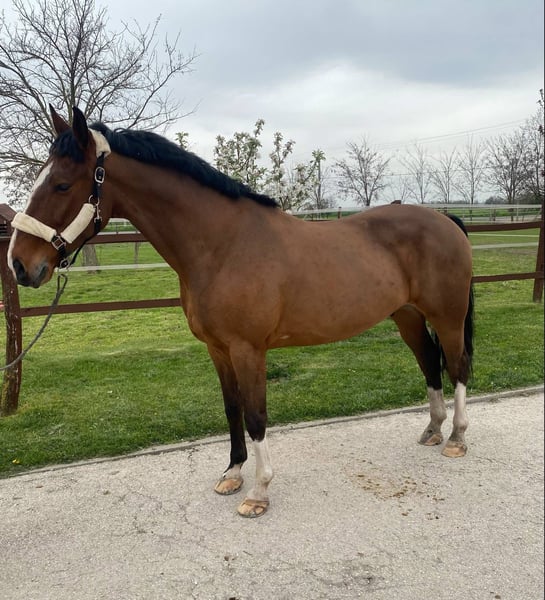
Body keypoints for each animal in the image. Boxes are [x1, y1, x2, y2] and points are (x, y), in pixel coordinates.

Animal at [8, 106, 474, 518]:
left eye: (62, 185)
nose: (19, 265)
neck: (222, 245)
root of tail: (446, 220)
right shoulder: (218, 348)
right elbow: (232, 408)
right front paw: (232, 474)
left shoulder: (249, 349)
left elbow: (256, 415)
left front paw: (259, 492)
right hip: (408, 316)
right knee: (429, 363)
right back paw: (432, 430)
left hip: (447, 318)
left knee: (456, 367)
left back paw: (456, 438)